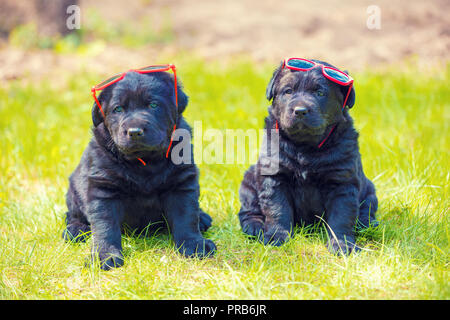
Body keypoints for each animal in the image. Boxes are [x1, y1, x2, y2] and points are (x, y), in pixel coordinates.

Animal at [63, 70, 216, 270]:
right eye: (118, 109)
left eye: (153, 105)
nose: (135, 131)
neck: (145, 162)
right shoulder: (103, 188)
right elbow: (105, 226)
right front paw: (104, 255)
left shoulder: (181, 182)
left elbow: (187, 217)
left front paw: (195, 244)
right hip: (74, 189)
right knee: (72, 214)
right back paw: (75, 230)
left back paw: (203, 217)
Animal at [237, 58, 378, 255]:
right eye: (288, 91)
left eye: (320, 93)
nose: (300, 110)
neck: (305, 148)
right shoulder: (274, 177)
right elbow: (277, 209)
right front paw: (276, 237)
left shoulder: (342, 182)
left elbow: (341, 216)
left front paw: (342, 245)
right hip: (249, 180)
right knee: (248, 211)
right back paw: (255, 227)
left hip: (370, 191)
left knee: (367, 209)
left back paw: (367, 224)